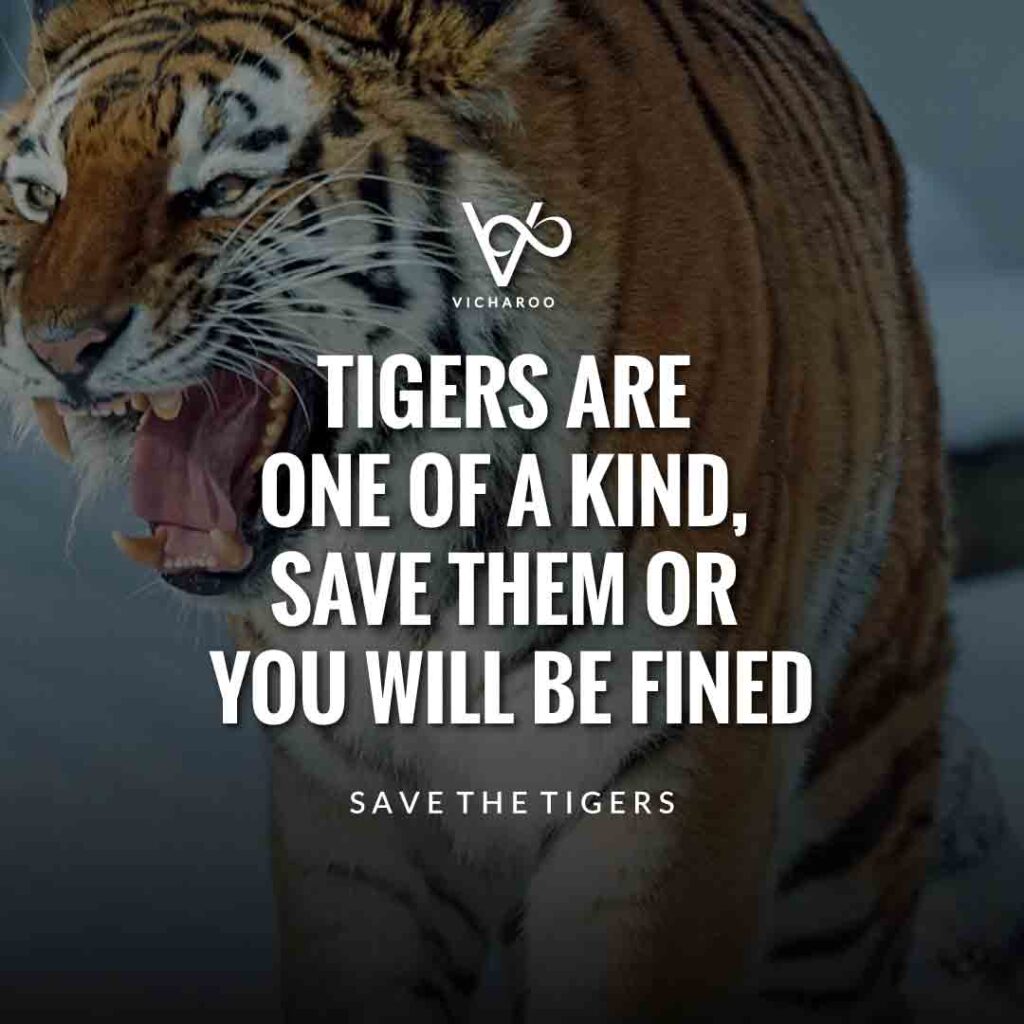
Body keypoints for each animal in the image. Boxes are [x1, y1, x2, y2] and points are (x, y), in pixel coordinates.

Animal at [0, 0, 954, 1020]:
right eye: (39, 196)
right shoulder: (352, 815)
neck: (408, 552)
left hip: (860, 792)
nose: (56, 345)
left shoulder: (675, 795)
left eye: (222, 189)